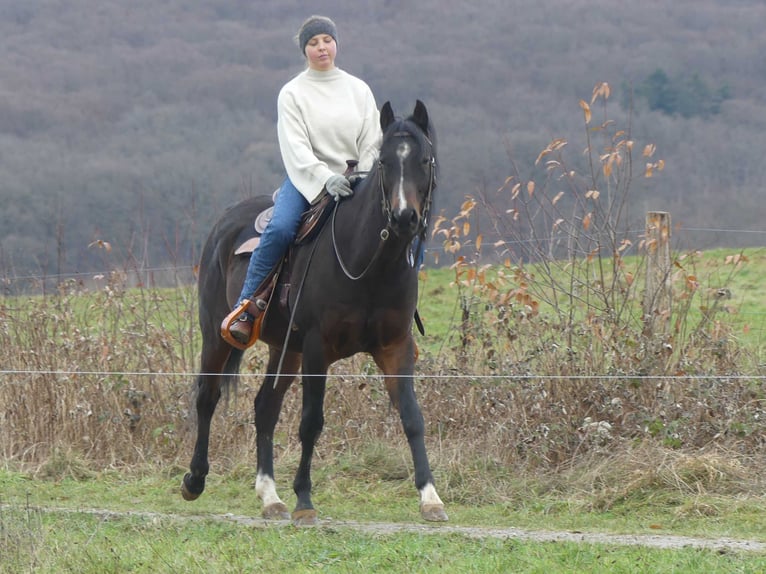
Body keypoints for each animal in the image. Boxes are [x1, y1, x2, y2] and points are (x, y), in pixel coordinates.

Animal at [181, 100, 447, 525]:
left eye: (425, 159)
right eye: (385, 161)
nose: (404, 217)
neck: (369, 264)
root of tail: (225, 222)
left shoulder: (395, 347)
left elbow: (412, 417)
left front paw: (430, 497)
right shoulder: (317, 348)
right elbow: (311, 422)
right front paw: (305, 500)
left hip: (285, 349)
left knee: (265, 408)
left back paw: (270, 497)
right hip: (217, 337)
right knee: (208, 397)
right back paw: (194, 480)